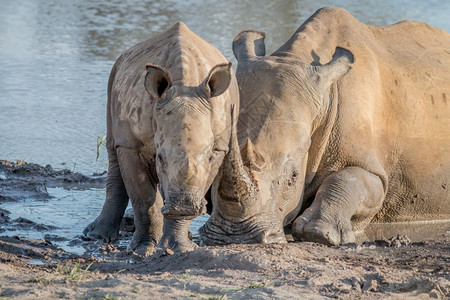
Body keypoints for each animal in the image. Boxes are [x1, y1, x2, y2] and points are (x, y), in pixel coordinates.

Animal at [85, 22, 239, 254]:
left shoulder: (219, 147)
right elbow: (143, 198)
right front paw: (142, 250)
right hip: (115, 72)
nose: (184, 205)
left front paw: (179, 247)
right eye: (160, 158)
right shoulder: (131, 144)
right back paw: (95, 236)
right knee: (113, 148)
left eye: (208, 157)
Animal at [201, 7, 450, 246]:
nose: (234, 237)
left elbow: (349, 180)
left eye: (293, 177)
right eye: (216, 161)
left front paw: (319, 233)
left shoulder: (375, 170)